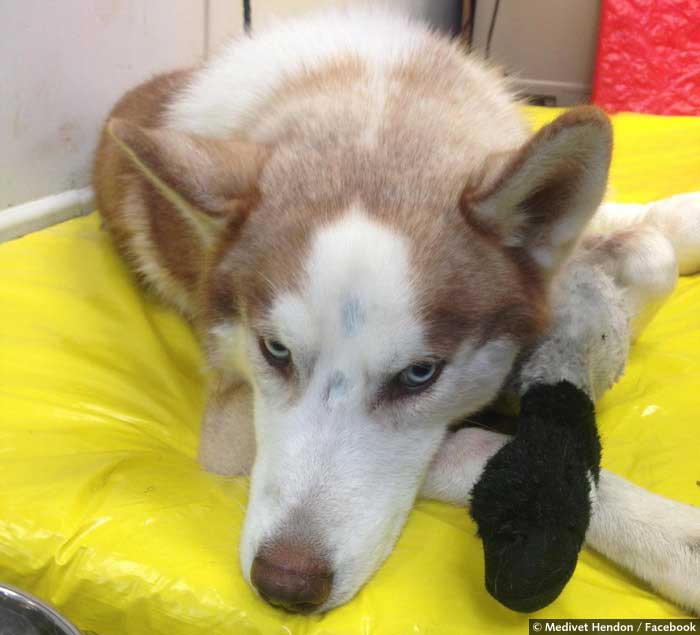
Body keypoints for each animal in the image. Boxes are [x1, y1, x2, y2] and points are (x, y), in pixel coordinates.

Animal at [94, 6, 700, 616]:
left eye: (419, 374)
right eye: (275, 350)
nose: (286, 585)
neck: (374, 110)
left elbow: (651, 259)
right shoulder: (227, 438)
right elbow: (490, 450)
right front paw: (675, 536)